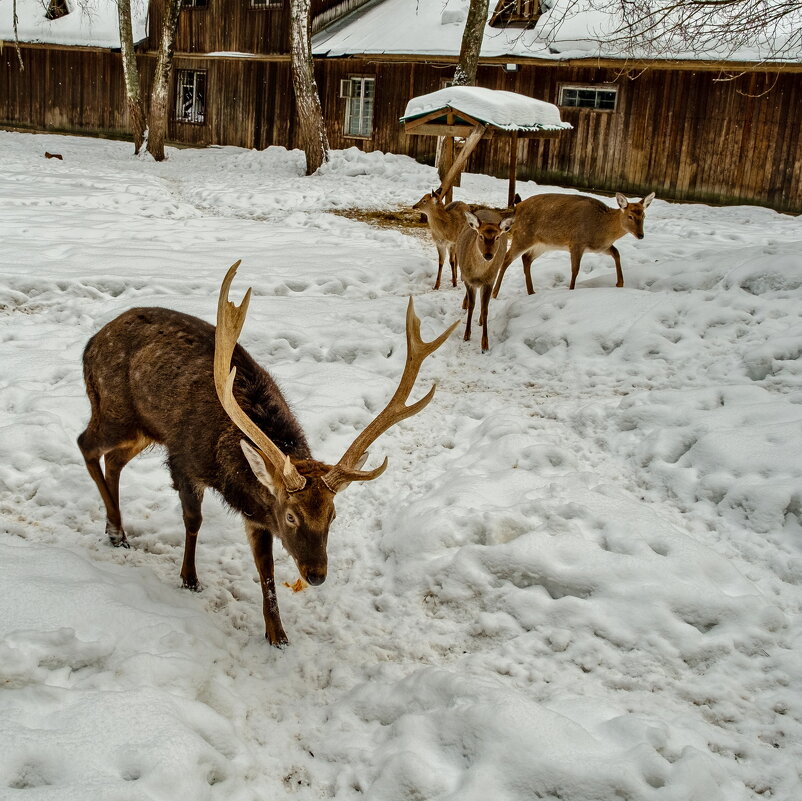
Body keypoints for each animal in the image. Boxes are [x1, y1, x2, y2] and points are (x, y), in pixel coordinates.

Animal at [81, 260, 460, 644]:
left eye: (333, 515)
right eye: (291, 516)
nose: (317, 574)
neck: (229, 468)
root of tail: (91, 343)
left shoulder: (257, 512)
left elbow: (266, 568)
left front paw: (277, 635)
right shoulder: (184, 459)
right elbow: (193, 520)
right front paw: (189, 578)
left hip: (140, 430)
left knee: (113, 459)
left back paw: (116, 527)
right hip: (115, 410)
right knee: (86, 444)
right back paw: (116, 533)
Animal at [454, 209, 516, 350]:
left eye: (497, 237)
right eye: (481, 236)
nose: (488, 255)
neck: (478, 275)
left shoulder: (489, 281)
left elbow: (485, 309)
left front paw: (485, 344)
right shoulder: (468, 280)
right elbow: (472, 306)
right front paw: (466, 335)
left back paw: (481, 320)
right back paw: (464, 304)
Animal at [490, 191, 652, 296]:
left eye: (644, 215)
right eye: (630, 216)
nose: (641, 235)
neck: (601, 230)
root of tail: (517, 207)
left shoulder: (600, 247)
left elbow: (616, 253)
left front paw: (620, 284)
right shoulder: (576, 242)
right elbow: (575, 269)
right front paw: (571, 290)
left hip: (542, 244)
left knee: (526, 258)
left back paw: (531, 292)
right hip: (522, 235)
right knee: (507, 258)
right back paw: (495, 293)